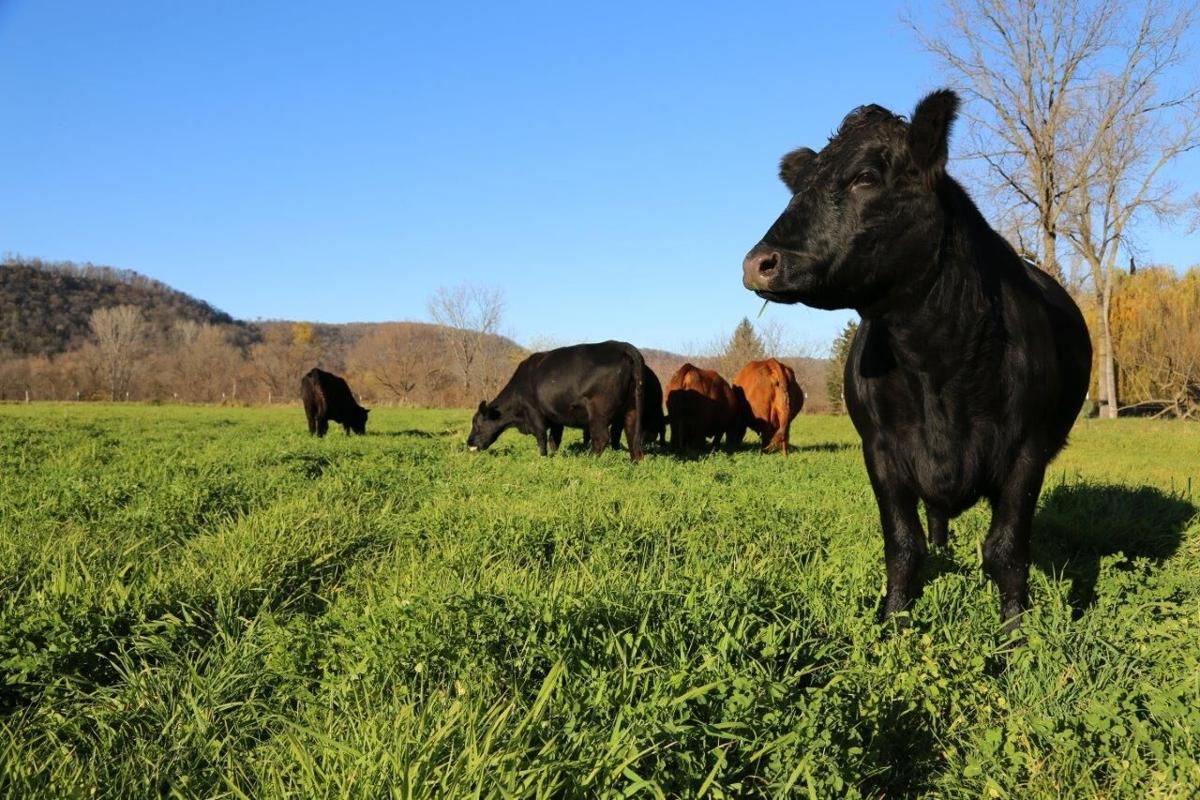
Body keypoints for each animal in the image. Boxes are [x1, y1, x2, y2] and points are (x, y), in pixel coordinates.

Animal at [467, 340, 646, 461]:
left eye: (477, 423)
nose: (468, 442)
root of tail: (622, 345)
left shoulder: (534, 412)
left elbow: (541, 438)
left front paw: (543, 459)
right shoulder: (555, 418)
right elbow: (555, 440)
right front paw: (554, 458)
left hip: (599, 411)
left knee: (601, 438)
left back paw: (588, 461)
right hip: (631, 408)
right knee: (632, 438)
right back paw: (634, 464)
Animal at [741, 90, 1091, 633]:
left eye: (866, 176)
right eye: (800, 185)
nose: (758, 264)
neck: (936, 364)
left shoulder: (1027, 449)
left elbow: (1007, 549)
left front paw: (1015, 633)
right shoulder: (881, 449)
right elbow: (904, 545)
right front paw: (893, 624)